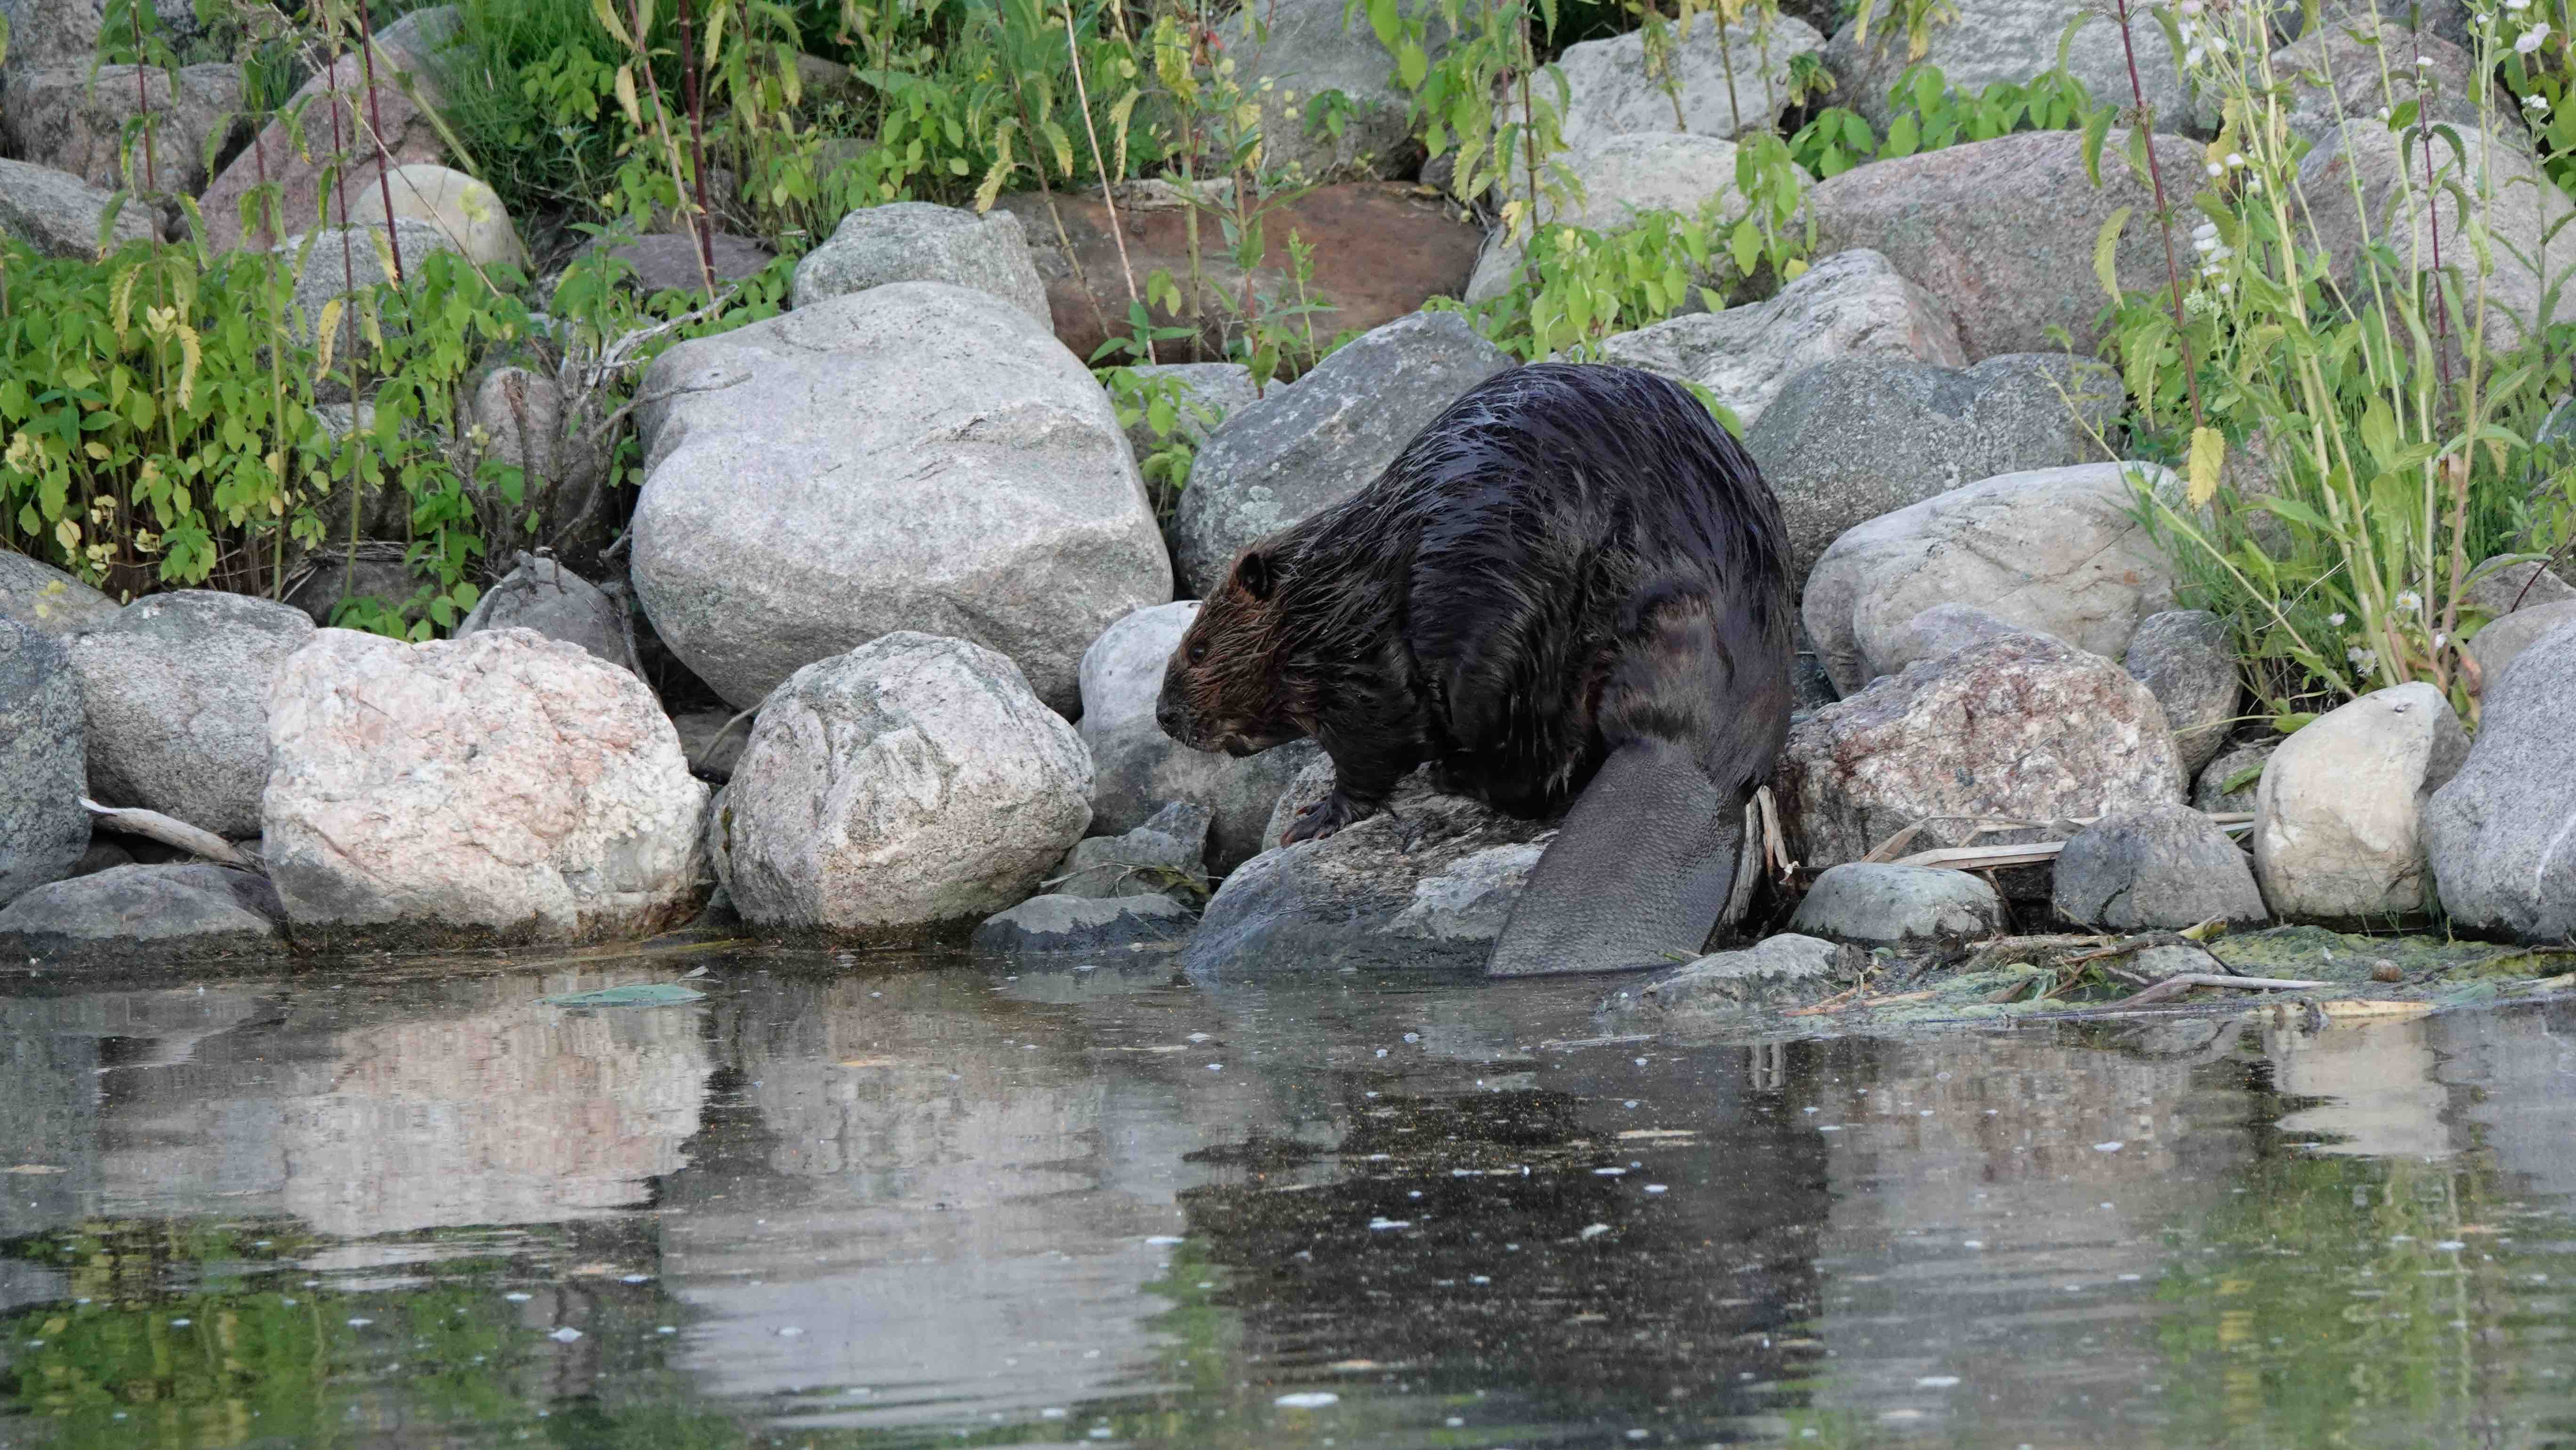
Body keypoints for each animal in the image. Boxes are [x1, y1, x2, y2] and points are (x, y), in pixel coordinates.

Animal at [1154, 362, 1794, 976]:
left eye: (1199, 650)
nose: (1163, 716)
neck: (1327, 595)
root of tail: (1693, 757)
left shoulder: (1364, 662)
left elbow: (1373, 745)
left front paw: (1314, 819)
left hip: (1501, 644)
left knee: (1529, 772)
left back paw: (1449, 773)